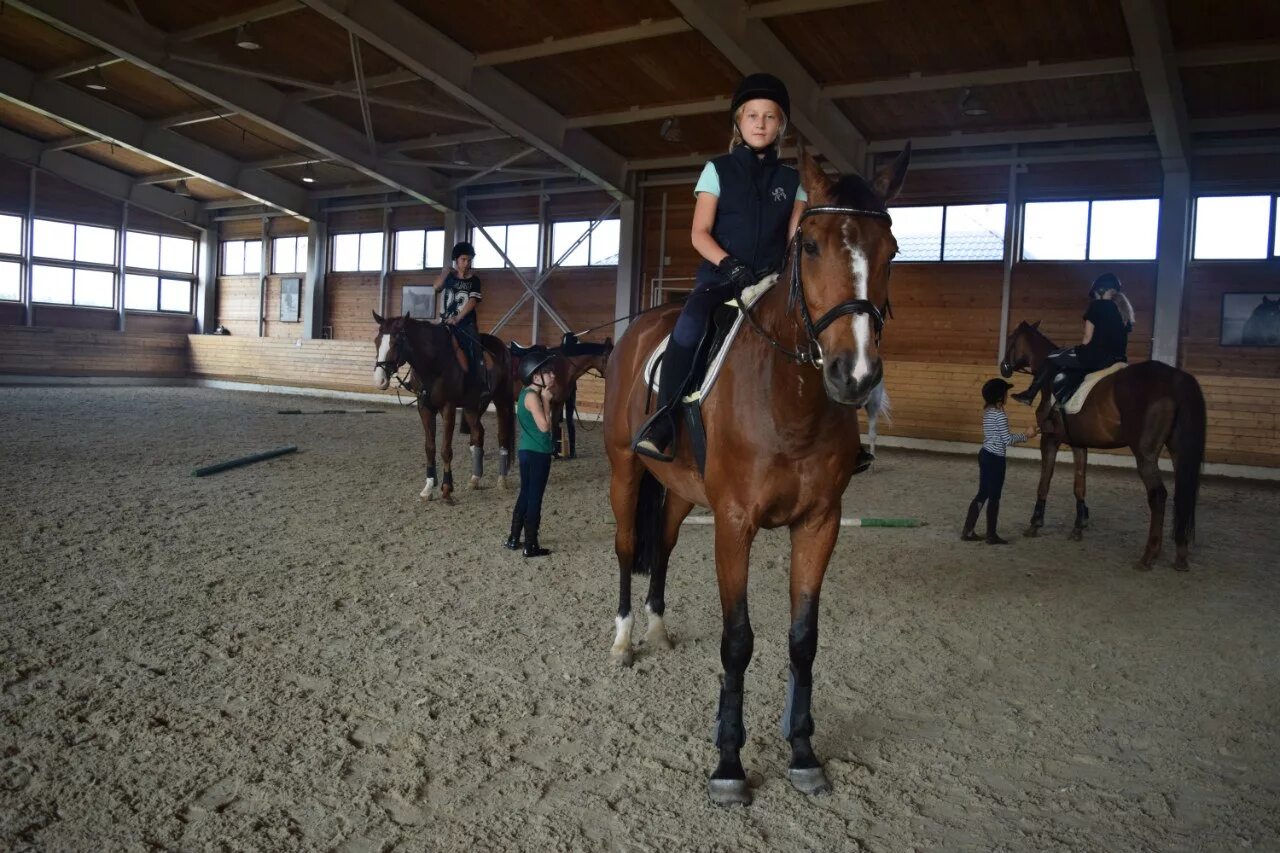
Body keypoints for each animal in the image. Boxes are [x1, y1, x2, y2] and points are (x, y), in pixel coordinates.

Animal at [371, 311, 514, 499]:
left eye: (396, 343)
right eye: (376, 341)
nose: (379, 380)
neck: (434, 362)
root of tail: (503, 348)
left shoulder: (448, 407)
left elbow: (446, 450)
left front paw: (446, 488)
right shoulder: (425, 408)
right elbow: (430, 448)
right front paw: (428, 487)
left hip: (501, 399)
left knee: (502, 435)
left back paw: (502, 481)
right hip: (472, 406)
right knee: (478, 433)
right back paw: (474, 479)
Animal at [601, 144, 911, 804]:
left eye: (892, 250)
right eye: (811, 245)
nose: (855, 374)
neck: (786, 400)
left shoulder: (819, 524)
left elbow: (803, 639)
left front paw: (803, 753)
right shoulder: (734, 524)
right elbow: (738, 640)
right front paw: (728, 764)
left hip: (678, 491)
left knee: (663, 546)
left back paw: (658, 630)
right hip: (625, 471)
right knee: (627, 546)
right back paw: (622, 641)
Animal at [998, 322, 1208, 568]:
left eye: (1012, 338)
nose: (1003, 367)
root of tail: (1174, 378)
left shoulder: (1049, 438)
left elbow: (1044, 482)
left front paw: (1035, 523)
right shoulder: (1079, 443)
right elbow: (1079, 485)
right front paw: (1078, 527)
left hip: (1145, 454)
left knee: (1158, 495)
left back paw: (1149, 555)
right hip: (1178, 451)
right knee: (1183, 495)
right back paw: (1181, 555)